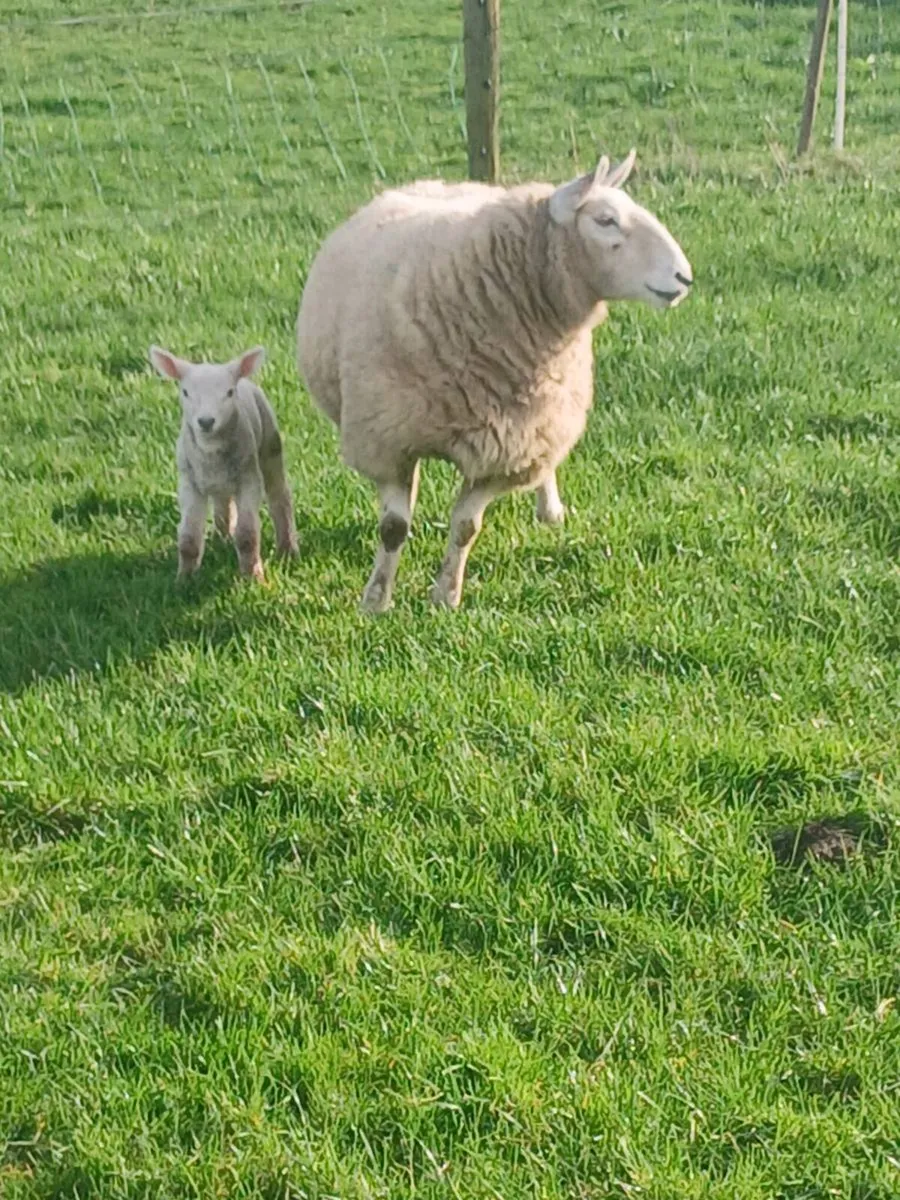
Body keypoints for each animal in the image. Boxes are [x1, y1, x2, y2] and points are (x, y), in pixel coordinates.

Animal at [149, 345, 298, 581]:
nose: (206, 422)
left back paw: (288, 550)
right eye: (185, 392)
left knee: (280, 496)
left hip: (269, 443)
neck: (211, 448)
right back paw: (223, 539)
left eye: (229, 392)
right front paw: (184, 579)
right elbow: (188, 538)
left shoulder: (249, 479)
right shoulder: (189, 483)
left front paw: (253, 578)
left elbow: (247, 535)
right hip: (219, 484)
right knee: (223, 505)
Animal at [296, 150, 692, 611]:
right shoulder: (388, 440)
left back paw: (549, 511)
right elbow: (393, 527)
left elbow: (466, 526)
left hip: (547, 416)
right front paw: (376, 601)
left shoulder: (508, 446)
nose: (684, 277)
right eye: (605, 220)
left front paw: (446, 596)